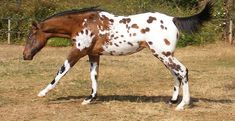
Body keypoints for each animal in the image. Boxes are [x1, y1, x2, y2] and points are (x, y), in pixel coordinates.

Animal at [23, 1, 213, 110]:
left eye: (31, 36)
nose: (25, 56)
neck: (83, 23)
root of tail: (173, 19)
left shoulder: (77, 51)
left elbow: (60, 73)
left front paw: (42, 93)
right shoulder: (93, 55)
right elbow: (94, 76)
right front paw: (89, 99)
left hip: (163, 54)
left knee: (182, 71)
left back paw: (181, 105)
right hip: (163, 55)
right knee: (175, 74)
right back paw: (172, 101)